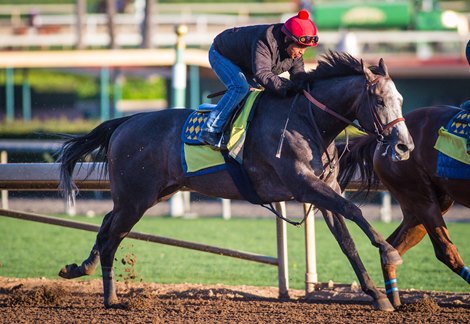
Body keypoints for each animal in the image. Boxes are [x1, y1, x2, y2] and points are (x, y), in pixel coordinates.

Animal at [57, 52, 414, 312]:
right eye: (379, 101)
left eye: (401, 99)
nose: (404, 146)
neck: (306, 120)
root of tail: (125, 122)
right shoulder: (304, 184)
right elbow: (354, 211)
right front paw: (389, 252)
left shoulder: (324, 189)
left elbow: (347, 240)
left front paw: (378, 296)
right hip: (136, 198)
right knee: (111, 237)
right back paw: (111, 298)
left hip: (149, 194)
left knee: (106, 224)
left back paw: (80, 269)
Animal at [340, 105, 468, 308]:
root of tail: (380, 142)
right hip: (420, 197)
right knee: (445, 251)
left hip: (427, 204)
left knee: (392, 245)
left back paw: (394, 299)